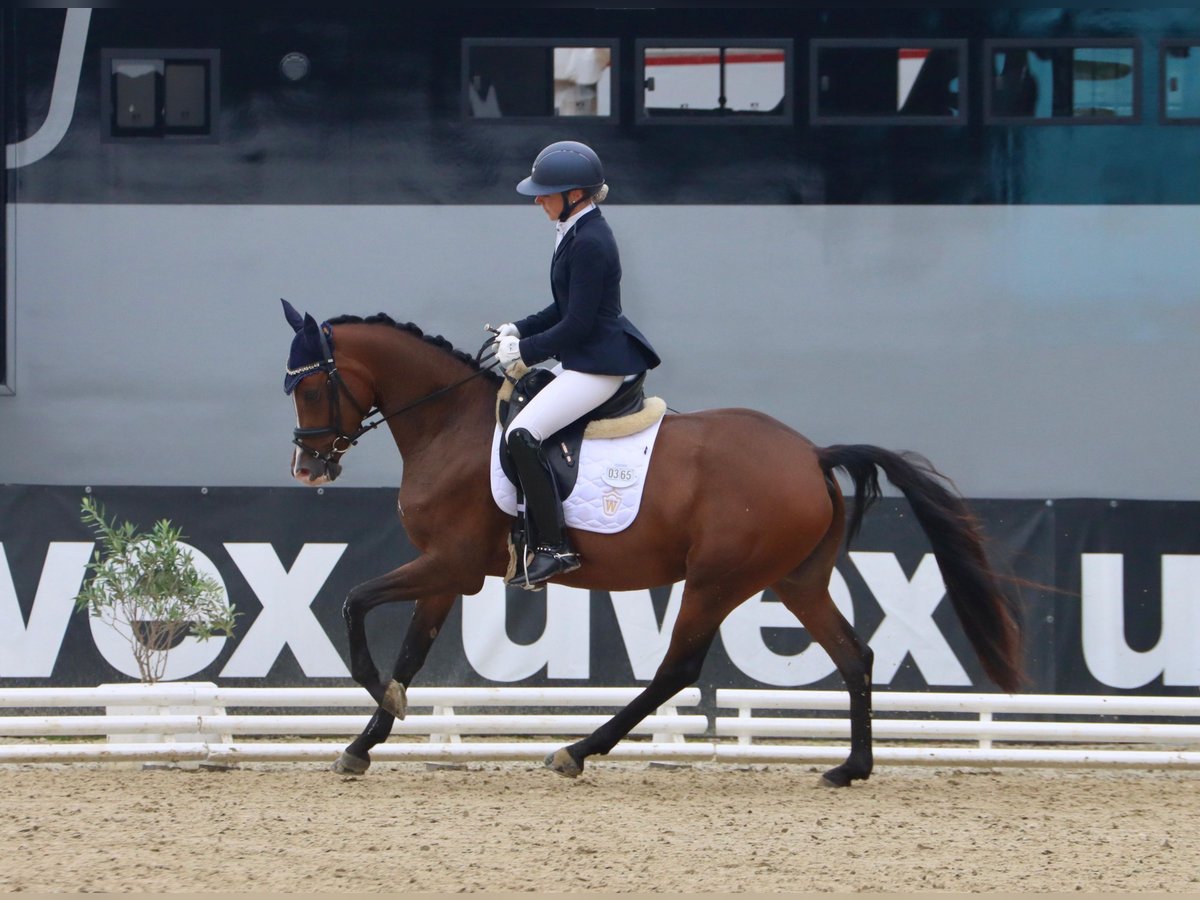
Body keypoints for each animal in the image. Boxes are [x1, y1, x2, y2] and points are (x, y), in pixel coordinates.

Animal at [280, 304, 1022, 787]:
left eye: (311, 385)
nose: (308, 469)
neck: (449, 424)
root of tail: (811, 455)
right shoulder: (445, 573)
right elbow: (410, 650)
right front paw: (363, 743)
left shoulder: (450, 564)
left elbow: (354, 603)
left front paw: (378, 700)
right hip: (795, 581)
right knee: (853, 654)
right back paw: (851, 768)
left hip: (719, 579)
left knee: (678, 669)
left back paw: (577, 751)